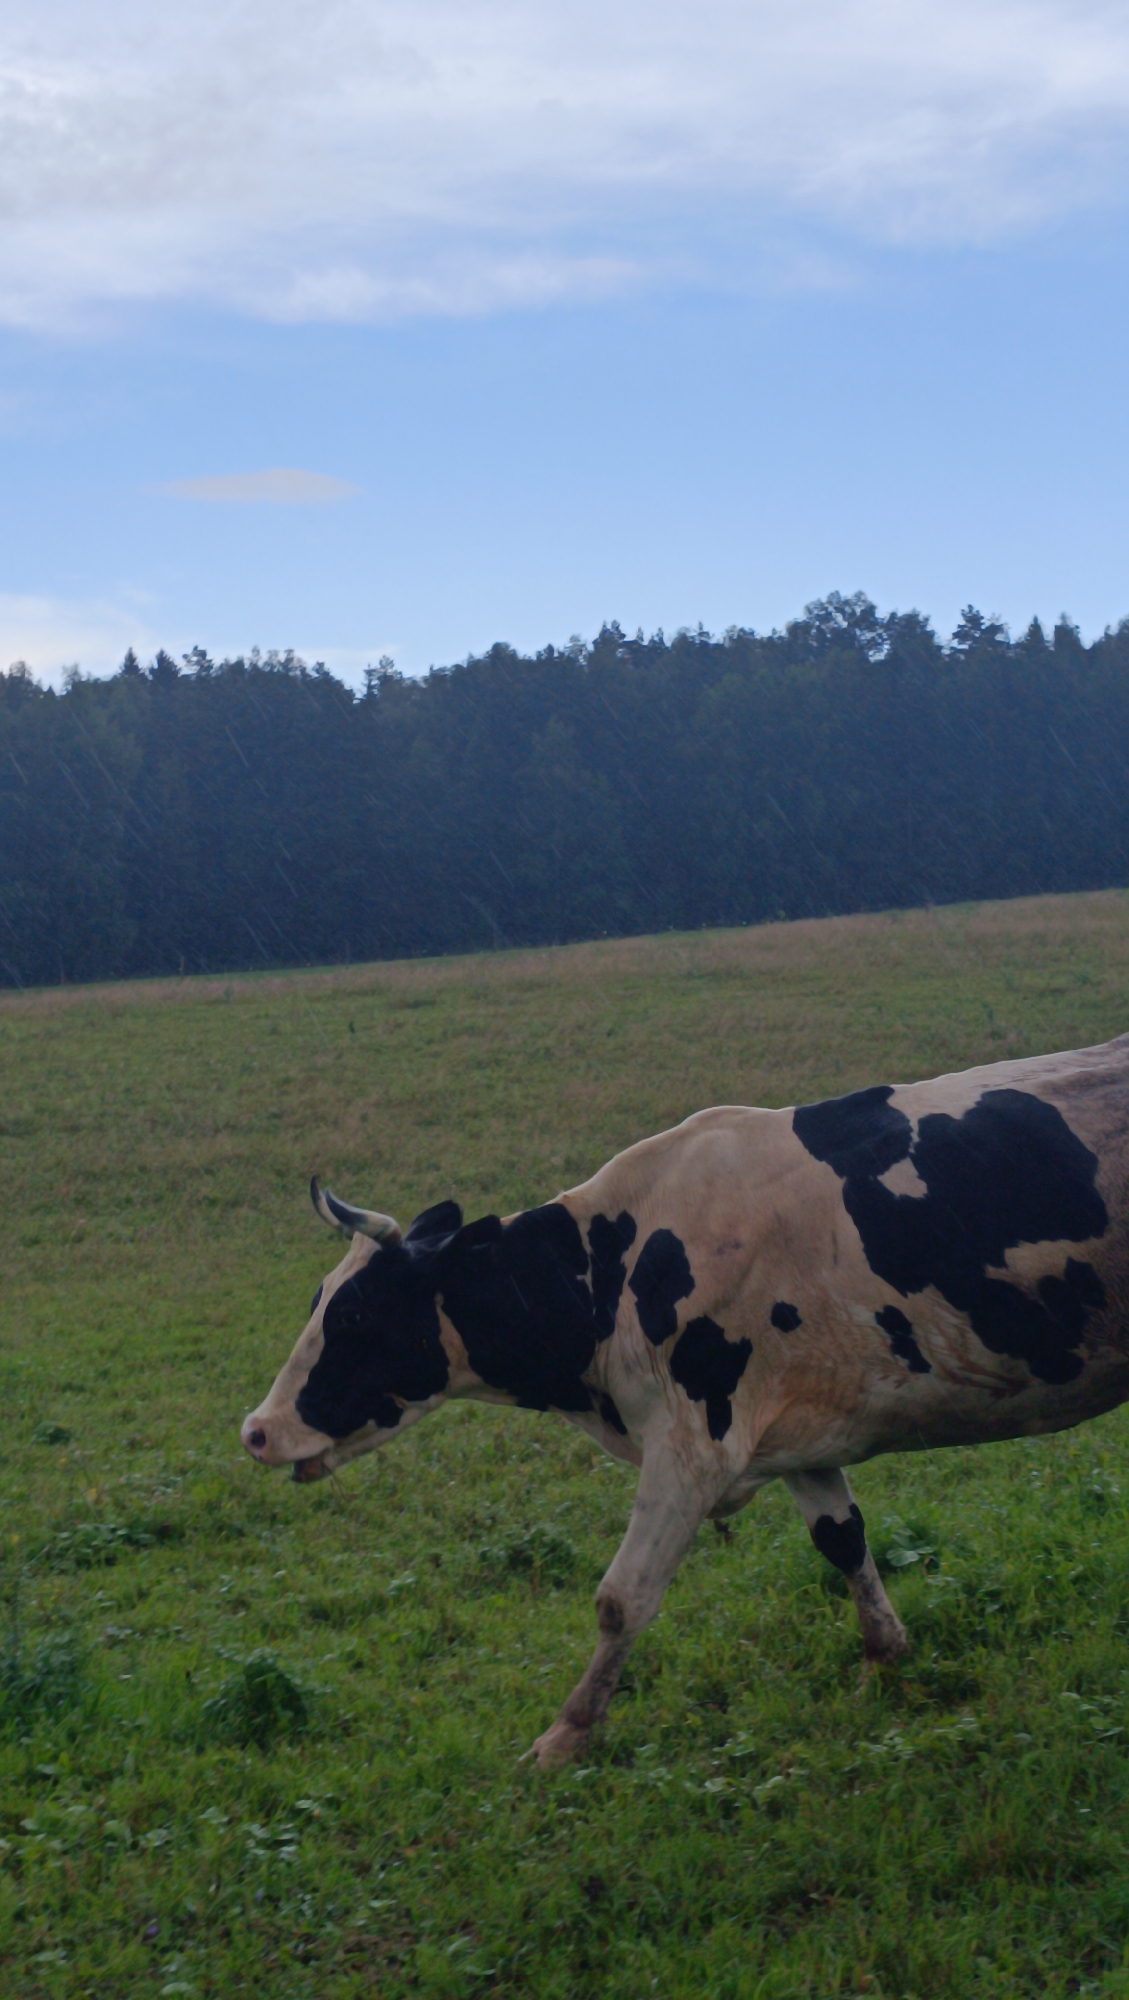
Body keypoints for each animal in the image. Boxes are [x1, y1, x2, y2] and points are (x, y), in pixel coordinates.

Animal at [241, 1034, 1129, 1766]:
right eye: (320, 1299)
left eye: (356, 1316)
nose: (256, 1431)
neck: (613, 1267)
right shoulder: (798, 1436)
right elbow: (843, 1542)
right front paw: (885, 1658)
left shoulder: (691, 1442)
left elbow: (621, 1598)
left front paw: (565, 1735)